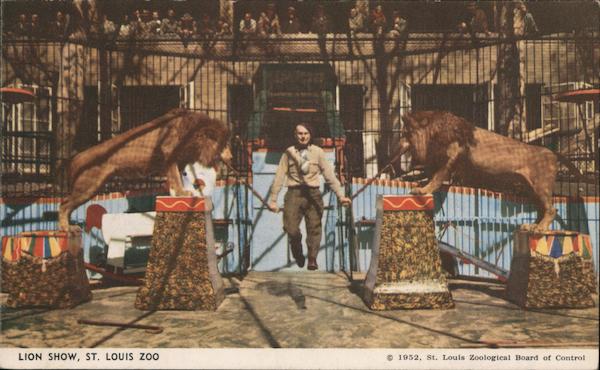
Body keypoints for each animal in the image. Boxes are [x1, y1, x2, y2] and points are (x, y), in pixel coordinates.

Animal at [58, 107, 232, 230]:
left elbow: (175, 179)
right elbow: (176, 178)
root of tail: (78, 157)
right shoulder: (169, 154)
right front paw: (182, 193)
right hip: (87, 187)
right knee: (64, 204)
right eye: (224, 145)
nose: (231, 157)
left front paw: (176, 193)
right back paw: (66, 229)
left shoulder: (178, 161)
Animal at [394, 110, 584, 231]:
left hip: (541, 186)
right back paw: (532, 226)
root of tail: (552, 152)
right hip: (531, 189)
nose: (398, 143)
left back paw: (540, 229)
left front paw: (422, 190)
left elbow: (436, 178)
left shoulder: (451, 157)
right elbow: (433, 176)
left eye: (405, 133)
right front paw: (421, 184)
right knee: (541, 210)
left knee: (551, 210)